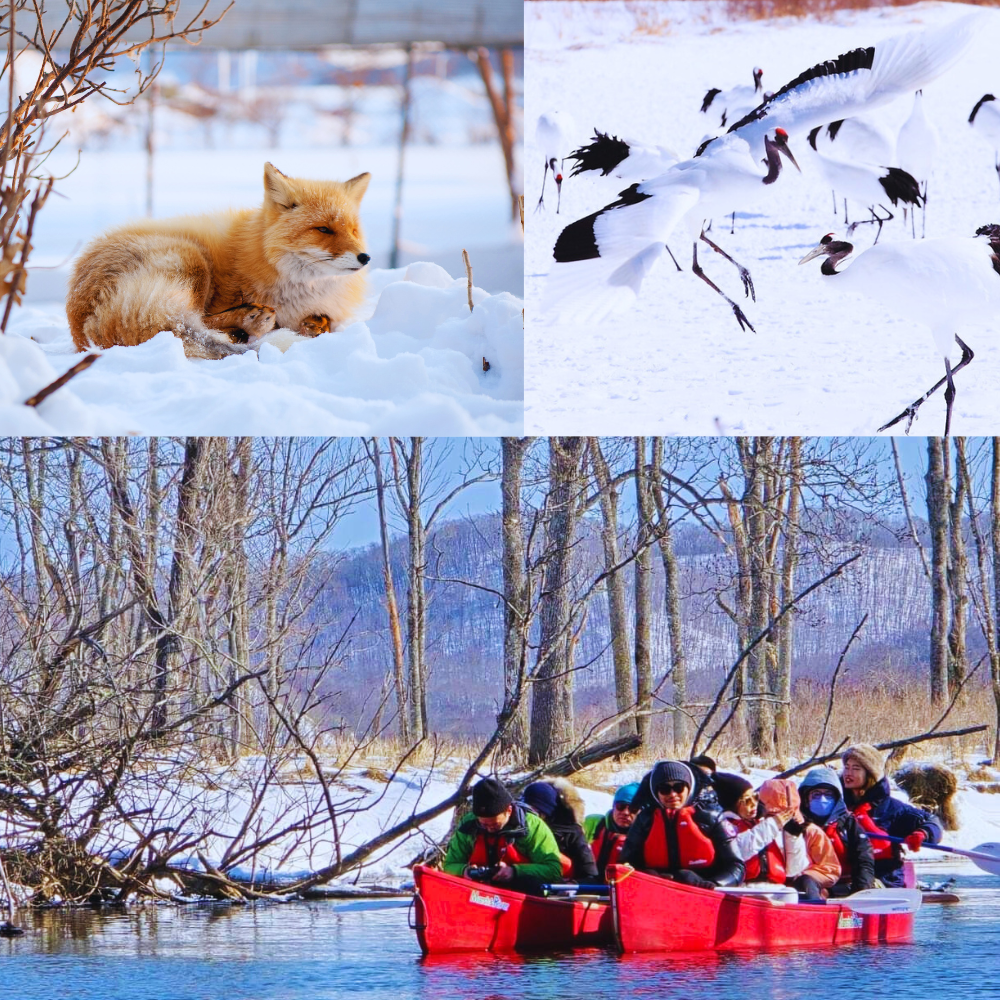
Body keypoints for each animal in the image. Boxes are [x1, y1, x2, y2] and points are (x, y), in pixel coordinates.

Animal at [66, 164, 374, 364]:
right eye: (323, 229)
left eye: (353, 231)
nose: (365, 257)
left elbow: (326, 321)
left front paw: (317, 324)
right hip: (193, 260)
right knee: (191, 320)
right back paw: (248, 322)